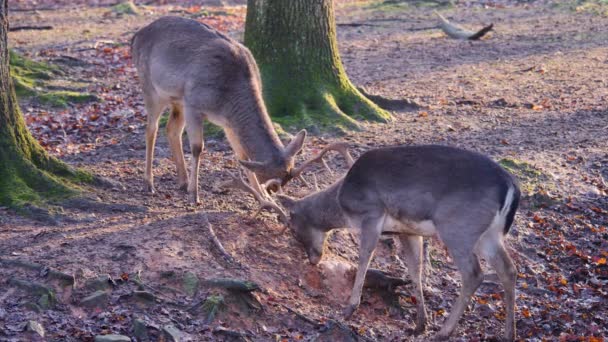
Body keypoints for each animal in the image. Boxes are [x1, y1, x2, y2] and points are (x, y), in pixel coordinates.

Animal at [131, 16, 308, 203]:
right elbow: (197, 147)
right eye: (272, 183)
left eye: (288, 177)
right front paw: (194, 195)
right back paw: (149, 184)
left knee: (172, 129)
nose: (271, 192)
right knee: (151, 129)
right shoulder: (193, 104)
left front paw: (262, 196)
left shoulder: (228, 122)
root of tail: (136, 36)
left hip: (178, 100)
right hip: (151, 87)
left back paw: (183, 182)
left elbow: (243, 155)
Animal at [226, 144, 520, 340]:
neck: (343, 202)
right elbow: (415, 269)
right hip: (488, 234)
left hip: (458, 227)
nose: (313, 259)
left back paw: (444, 332)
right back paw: (508, 334)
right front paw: (419, 323)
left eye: (293, 228)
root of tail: (512, 187)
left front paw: (349, 308)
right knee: (508, 269)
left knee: (474, 273)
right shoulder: (408, 231)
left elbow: (364, 257)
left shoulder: (371, 213)